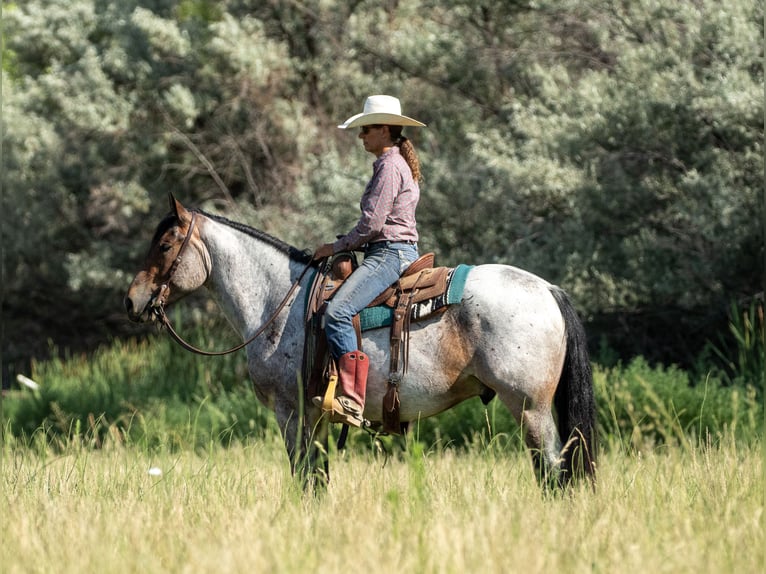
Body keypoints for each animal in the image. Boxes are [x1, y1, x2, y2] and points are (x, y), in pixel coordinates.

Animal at [124, 197, 600, 490]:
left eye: (164, 244)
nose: (133, 300)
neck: (278, 301)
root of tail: (548, 289)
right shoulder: (315, 416)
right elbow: (318, 479)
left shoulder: (290, 411)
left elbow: (303, 478)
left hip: (530, 408)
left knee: (554, 472)